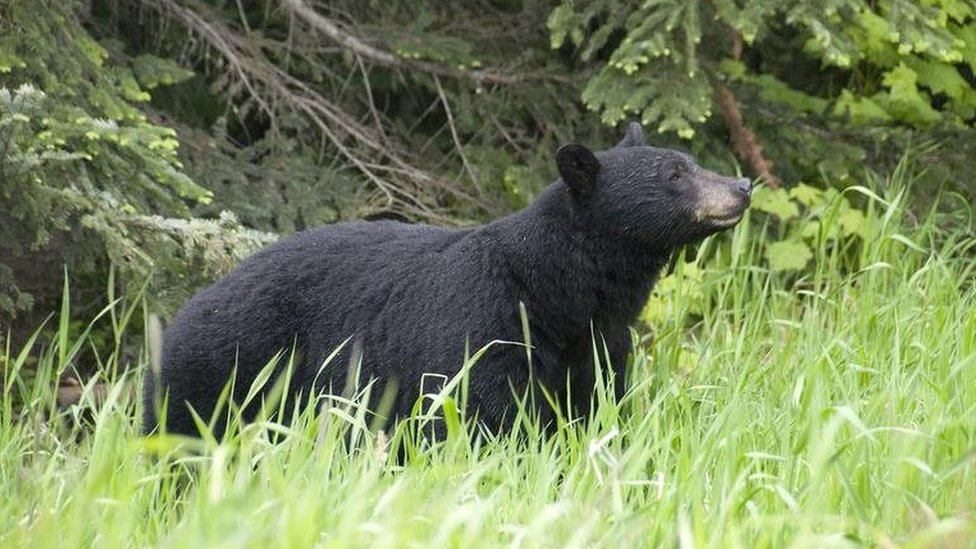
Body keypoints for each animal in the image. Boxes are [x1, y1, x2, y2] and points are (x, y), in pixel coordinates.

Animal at [145, 123, 752, 436]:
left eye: (689, 161)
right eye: (675, 175)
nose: (743, 185)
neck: (557, 293)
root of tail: (187, 308)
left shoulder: (597, 343)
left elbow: (592, 407)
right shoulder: (482, 326)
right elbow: (482, 415)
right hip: (227, 368)